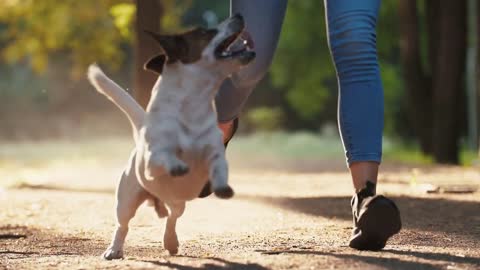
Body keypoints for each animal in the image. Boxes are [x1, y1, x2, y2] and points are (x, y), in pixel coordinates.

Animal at [88, 15, 256, 260]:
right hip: (126, 200)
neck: (191, 106)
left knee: (171, 217)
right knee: (123, 225)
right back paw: (114, 249)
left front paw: (221, 186)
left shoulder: (214, 150)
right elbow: (164, 157)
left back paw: (170, 241)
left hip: (177, 203)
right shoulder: (154, 157)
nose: (239, 16)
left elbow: (218, 165)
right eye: (205, 32)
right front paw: (177, 165)